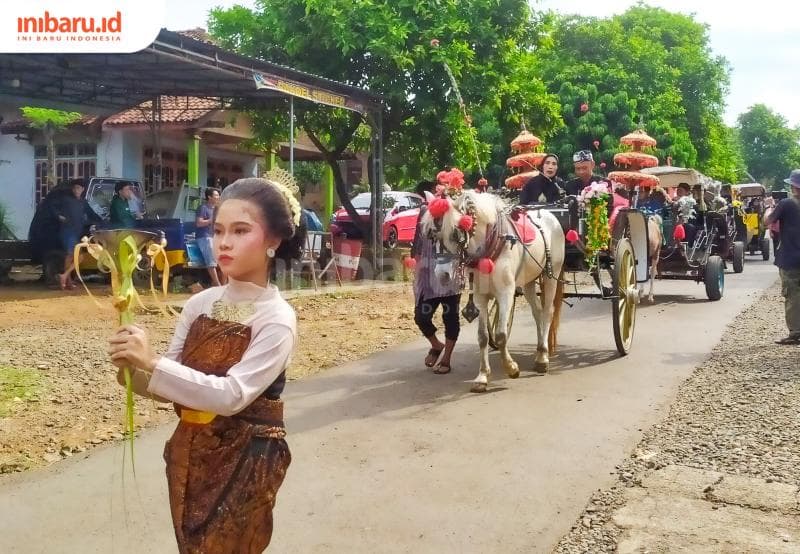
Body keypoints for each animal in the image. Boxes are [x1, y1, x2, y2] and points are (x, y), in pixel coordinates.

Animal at [422, 191, 564, 392]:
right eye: (431, 236)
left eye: (456, 234)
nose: (442, 275)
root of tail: (547, 212)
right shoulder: (480, 297)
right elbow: (482, 336)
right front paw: (482, 376)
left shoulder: (506, 293)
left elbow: (501, 334)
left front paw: (511, 368)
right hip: (528, 280)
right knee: (537, 312)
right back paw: (539, 352)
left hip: (552, 273)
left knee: (547, 312)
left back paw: (543, 357)